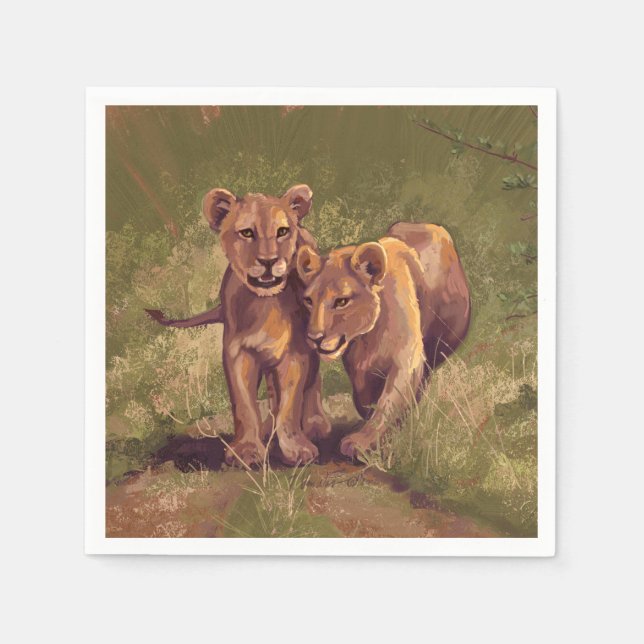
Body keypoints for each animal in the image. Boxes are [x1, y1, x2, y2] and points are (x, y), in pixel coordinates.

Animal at [148, 185, 331, 467]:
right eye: (247, 233)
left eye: (282, 231)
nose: (269, 261)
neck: (266, 303)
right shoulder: (237, 354)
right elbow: (244, 405)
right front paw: (247, 450)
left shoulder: (295, 353)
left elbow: (291, 404)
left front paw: (296, 448)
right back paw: (268, 430)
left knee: (312, 382)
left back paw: (314, 424)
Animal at [296, 221, 470, 459]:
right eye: (309, 301)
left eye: (341, 301)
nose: (314, 338)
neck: (368, 336)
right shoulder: (359, 365)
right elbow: (365, 394)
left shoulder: (407, 359)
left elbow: (389, 402)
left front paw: (361, 442)